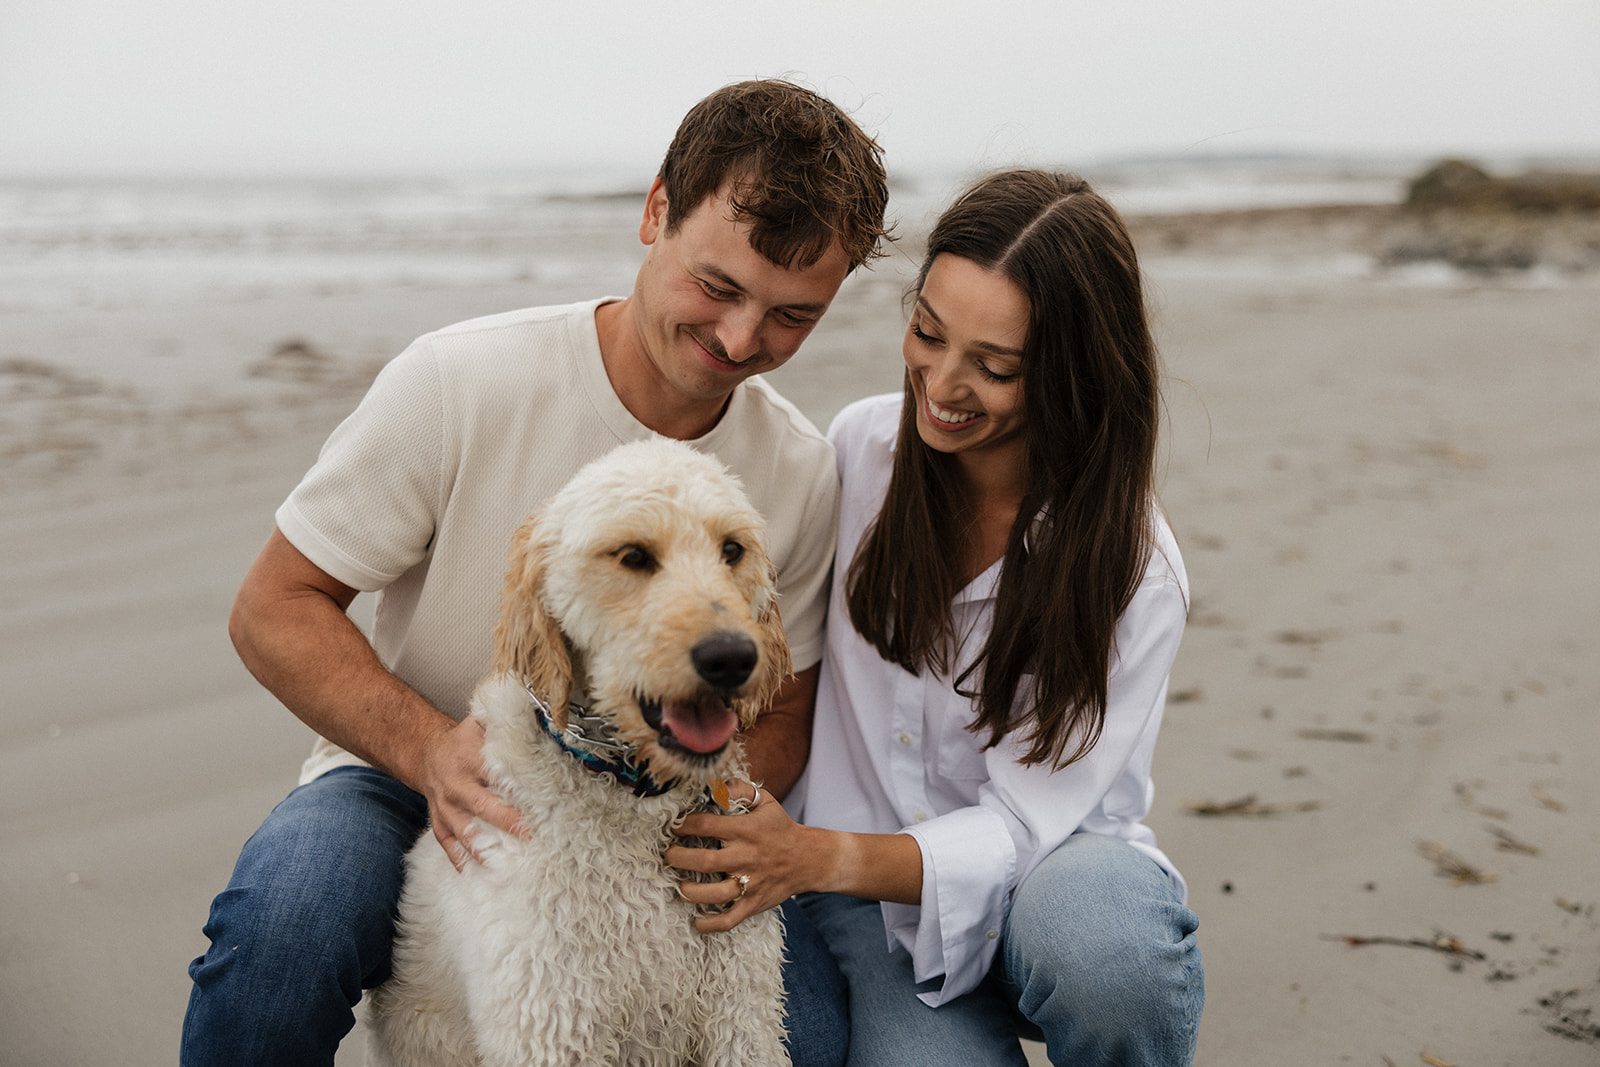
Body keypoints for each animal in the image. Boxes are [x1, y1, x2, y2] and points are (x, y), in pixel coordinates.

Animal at [363, 441, 787, 1067]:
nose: (731, 657)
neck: (632, 798)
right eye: (633, 556)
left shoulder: (743, 1015)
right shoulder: (548, 1023)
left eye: (732, 549)